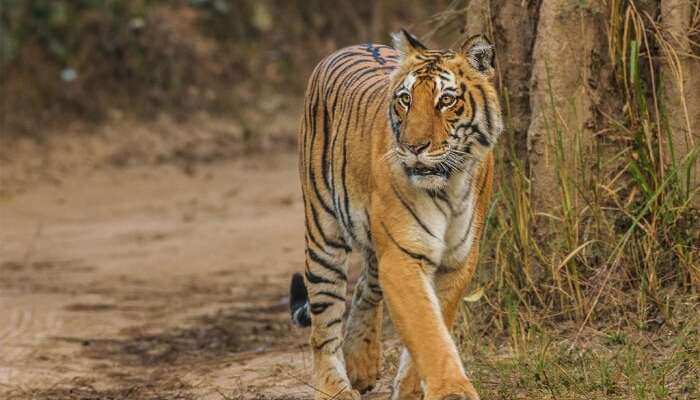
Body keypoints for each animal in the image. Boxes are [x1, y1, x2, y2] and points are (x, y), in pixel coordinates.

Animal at [288, 30, 500, 400]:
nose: (414, 147)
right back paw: (335, 387)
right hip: (323, 232)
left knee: (364, 288)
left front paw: (413, 389)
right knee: (323, 325)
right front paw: (452, 391)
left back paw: (361, 365)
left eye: (446, 100)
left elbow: (436, 322)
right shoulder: (402, 256)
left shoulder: (458, 259)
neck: (449, 185)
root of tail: (351, 46)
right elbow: (426, 329)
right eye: (405, 99)